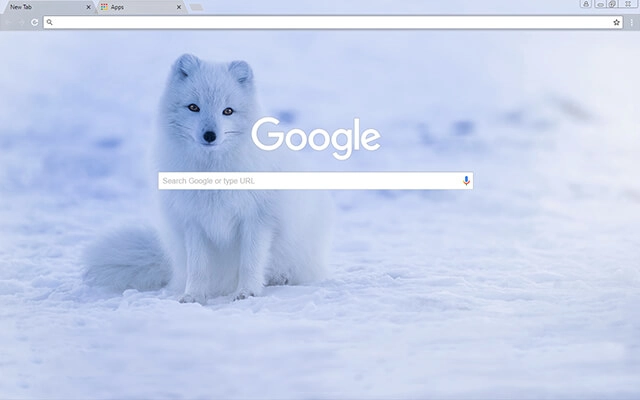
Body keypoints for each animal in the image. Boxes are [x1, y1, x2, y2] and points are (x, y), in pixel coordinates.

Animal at [82, 54, 333, 303]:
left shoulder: (257, 219)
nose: (210, 135)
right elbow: (198, 267)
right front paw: (193, 295)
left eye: (228, 111)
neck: (213, 174)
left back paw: (280, 278)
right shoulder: (193, 222)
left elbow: (250, 262)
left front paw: (247, 292)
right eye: (194, 107)